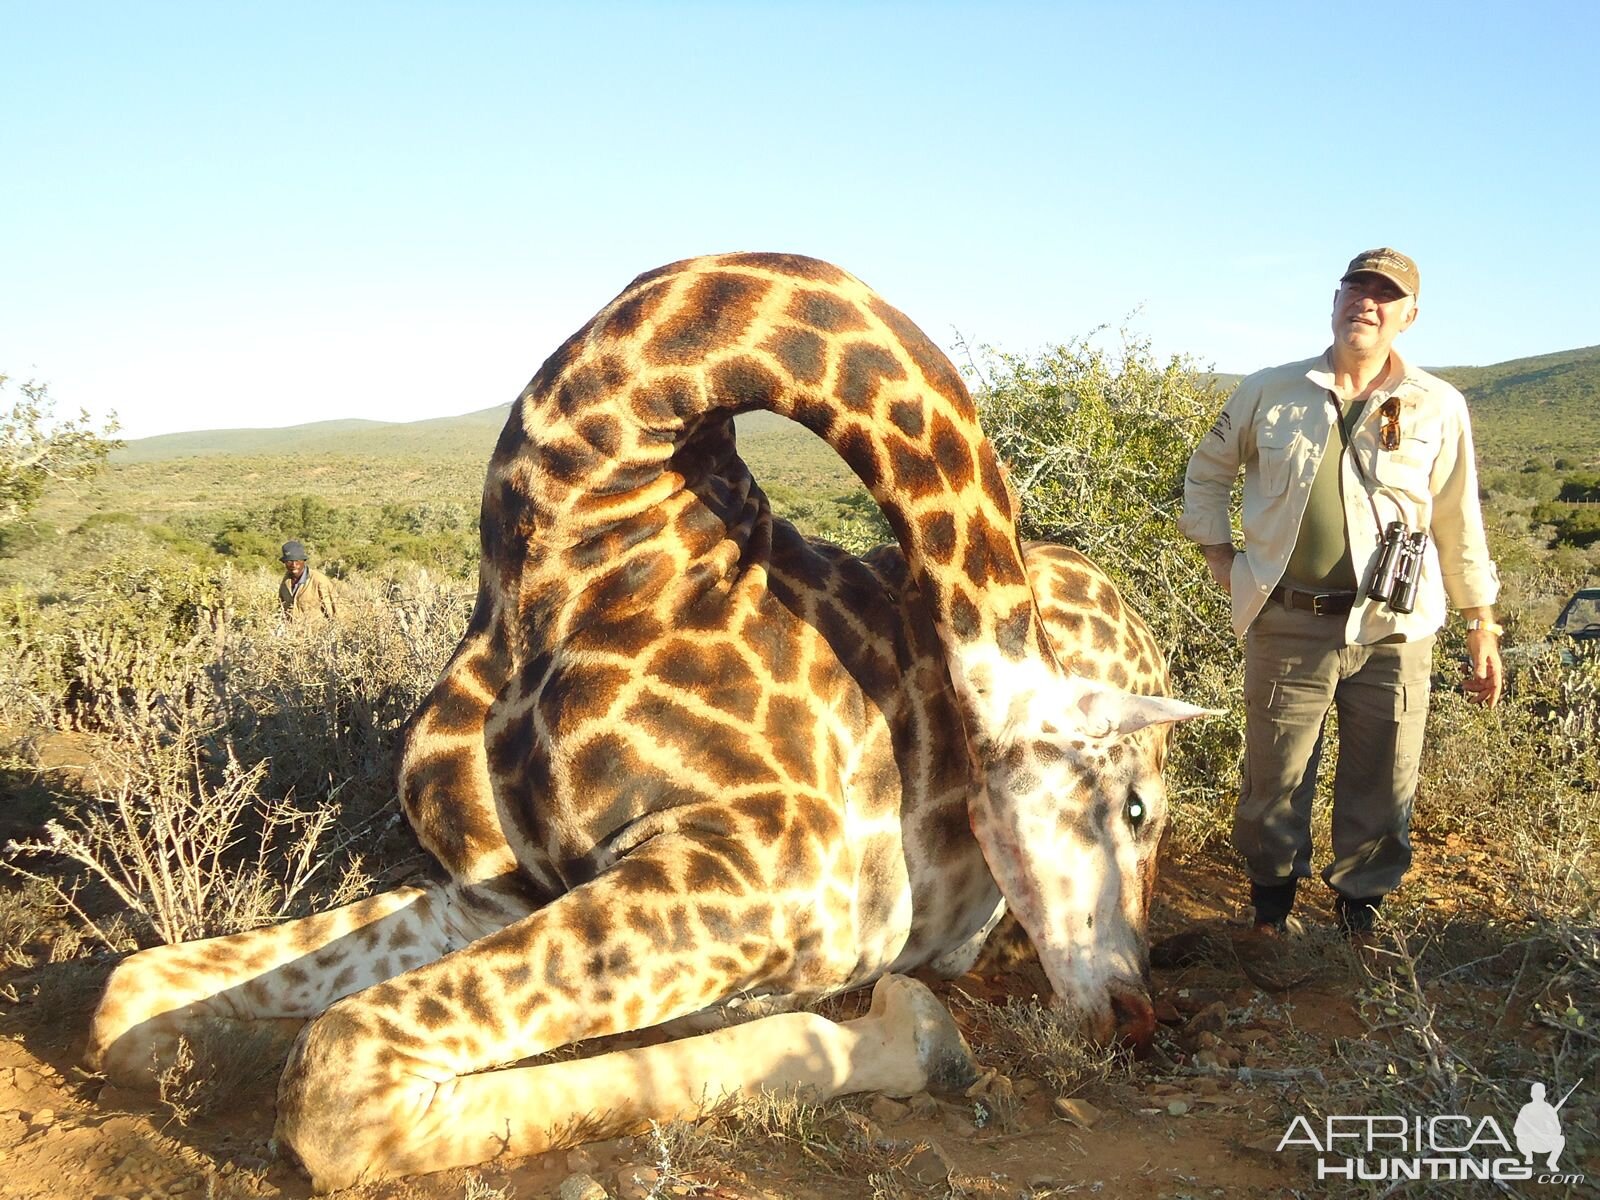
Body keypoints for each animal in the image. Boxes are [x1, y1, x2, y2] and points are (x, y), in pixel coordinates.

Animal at [87, 256, 1209, 1196]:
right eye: (1133, 808)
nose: (1132, 1014)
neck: (570, 547)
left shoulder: (771, 878)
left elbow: (337, 1068)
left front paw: (907, 1035)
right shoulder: (497, 888)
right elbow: (134, 995)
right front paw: (208, 1054)